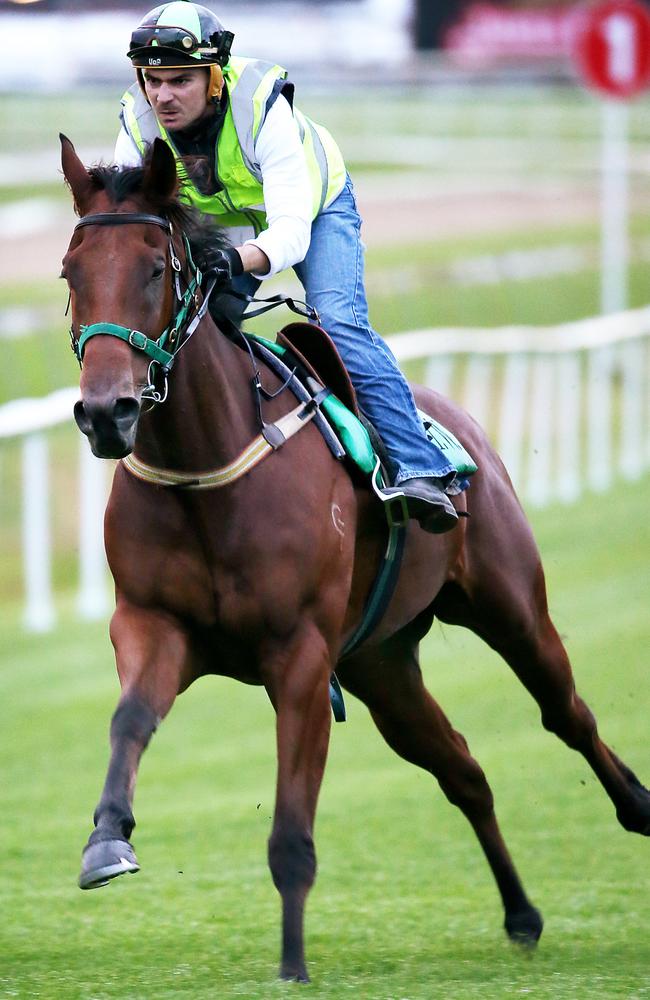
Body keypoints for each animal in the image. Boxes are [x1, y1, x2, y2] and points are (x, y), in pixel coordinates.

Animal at [60, 135, 648, 984]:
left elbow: (291, 829)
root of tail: (457, 417)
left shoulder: (301, 655)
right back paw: (522, 913)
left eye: (155, 268)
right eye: (70, 272)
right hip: (382, 663)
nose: (108, 412)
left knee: (566, 712)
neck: (206, 466)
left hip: (511, 607)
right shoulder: (152, 623)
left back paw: (637, 805)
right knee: (463, 771)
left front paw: (292, 965)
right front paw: (107, 839)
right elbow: (130, 718)